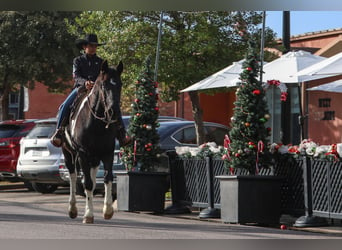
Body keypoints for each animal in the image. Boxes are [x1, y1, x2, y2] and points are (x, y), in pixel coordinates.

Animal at [62, 61, 125, 225]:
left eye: (120, 84)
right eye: (103, 85)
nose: (114, 112)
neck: (96, 123)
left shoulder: (108, 152)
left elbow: (107, 178)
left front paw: (108, 210)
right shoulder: (83, 154)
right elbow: (88, 183)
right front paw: (88, 214)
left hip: (95, 157)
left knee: (92, 176)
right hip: (68, 152)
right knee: (73, 176)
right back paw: (72, 209)